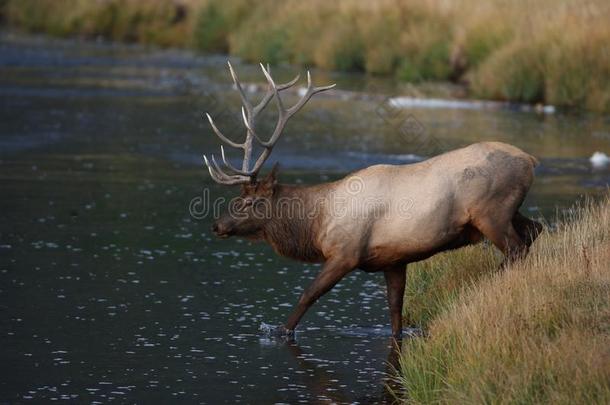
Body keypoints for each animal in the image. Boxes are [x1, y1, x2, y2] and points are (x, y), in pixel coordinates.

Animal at [201, 61, 540, 336]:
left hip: (491, 212)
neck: (315, 224)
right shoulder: (394, 260)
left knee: (517, 247)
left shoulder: (345, 252)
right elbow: (394, 311)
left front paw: (279, 331)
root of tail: (530, 159)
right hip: (508, 210)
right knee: (535, 230)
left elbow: (308, 294)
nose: (217, 225)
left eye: (249, 201)